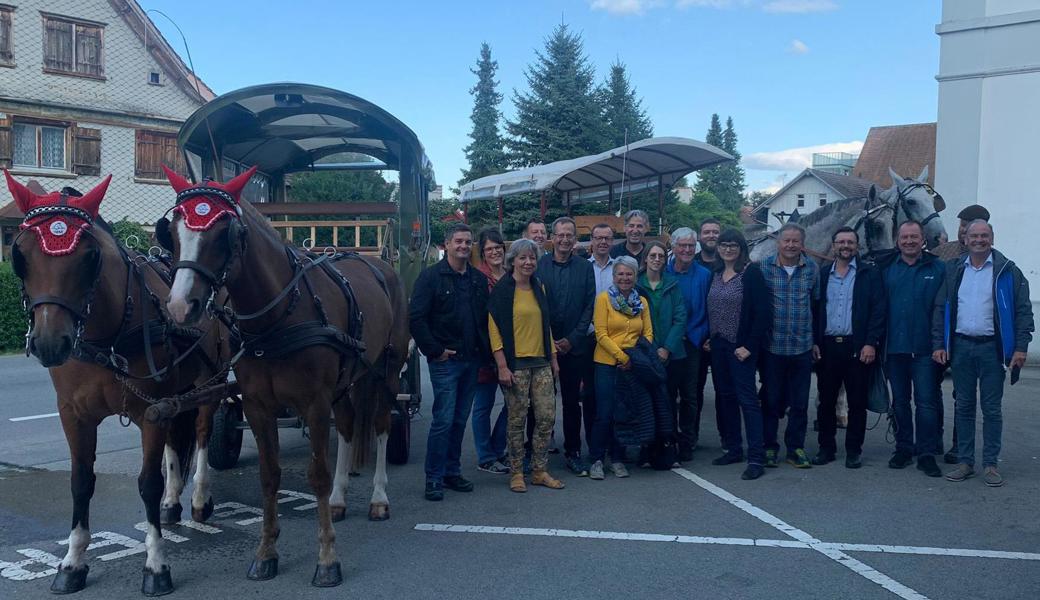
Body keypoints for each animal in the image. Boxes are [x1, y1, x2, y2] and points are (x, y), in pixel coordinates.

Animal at [3, 169, 231, 594]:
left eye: (90, 257)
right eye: (20, 254)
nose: (49, 342)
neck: (108, 333)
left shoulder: (150, 412)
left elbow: (148, 482)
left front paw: (156, 565)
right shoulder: (74, 415)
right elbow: (81, 482)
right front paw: (72, 562)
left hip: (213, 380)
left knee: (203, 434)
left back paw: (199, 499)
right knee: (177, 439)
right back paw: (172, 503)